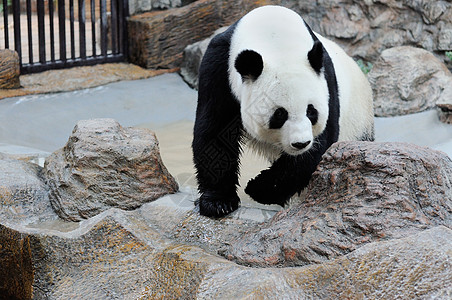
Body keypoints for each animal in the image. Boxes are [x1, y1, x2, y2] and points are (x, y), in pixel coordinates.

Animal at [193, 5, 374, 218]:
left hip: (358, 122)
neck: (274, 37)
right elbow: (215, 132)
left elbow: (318, 146)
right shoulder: (220, 66)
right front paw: (218, 202)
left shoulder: (326, 79)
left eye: (311, 112)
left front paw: (258, 188)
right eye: (279, 114)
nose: (301, 143)